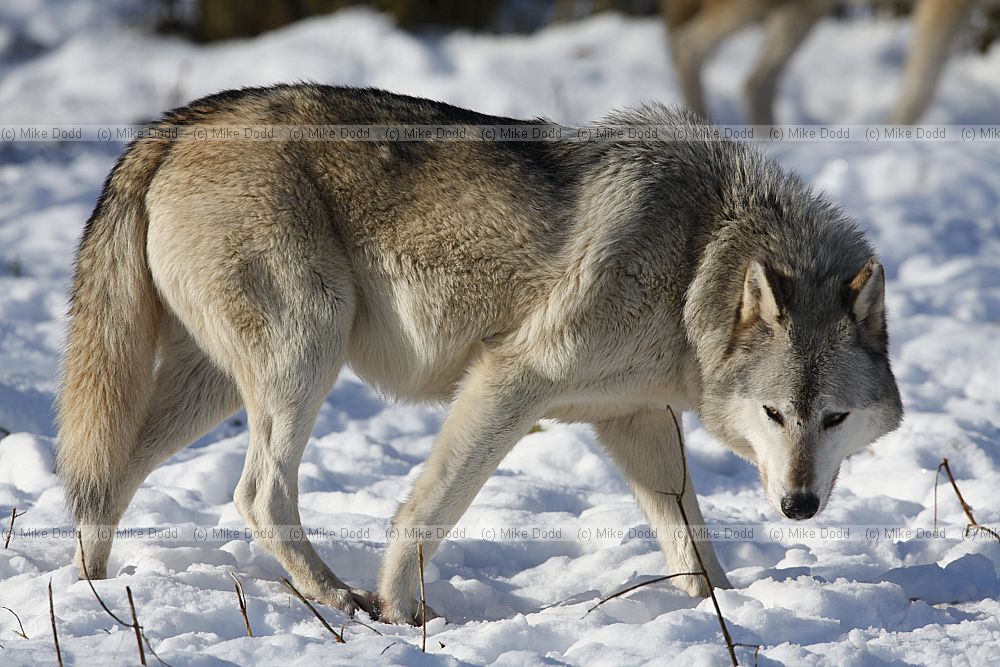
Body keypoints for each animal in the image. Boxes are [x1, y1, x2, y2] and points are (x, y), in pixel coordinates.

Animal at [56, 85, 903, 625]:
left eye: (832, 418)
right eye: (774, 413)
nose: (800, 506)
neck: (700, 253)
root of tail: (178, 122)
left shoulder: (638, 418)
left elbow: (692, 547)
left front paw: (725, 613)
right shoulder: (510, 379)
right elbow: (426, 510)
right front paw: (404, 612)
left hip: (218, 389)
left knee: (106, 478)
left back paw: (90, 593)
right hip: (306, 354)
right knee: (259, 492)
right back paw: (338, 599)